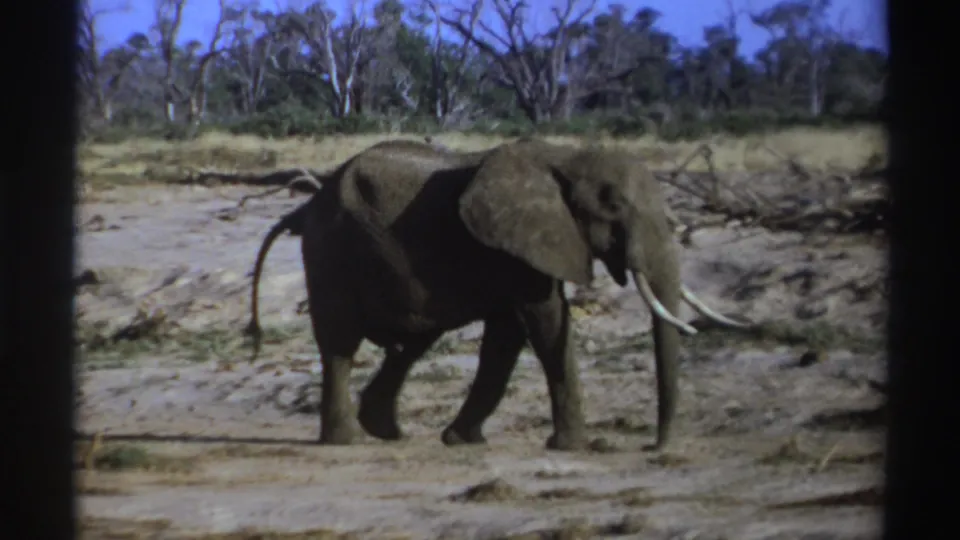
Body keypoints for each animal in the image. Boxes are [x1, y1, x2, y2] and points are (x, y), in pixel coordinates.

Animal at [245, 137, 750, 452]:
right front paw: (575, 447)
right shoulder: (518, 247)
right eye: (613, 209)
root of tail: (305, 206)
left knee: (412, 340)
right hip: (331, 254)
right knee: (341, 344)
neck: (565, 158)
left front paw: (464, 440)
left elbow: (507, 336)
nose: (652, 447)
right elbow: (545, 322)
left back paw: (386, 432)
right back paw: (347, 440)